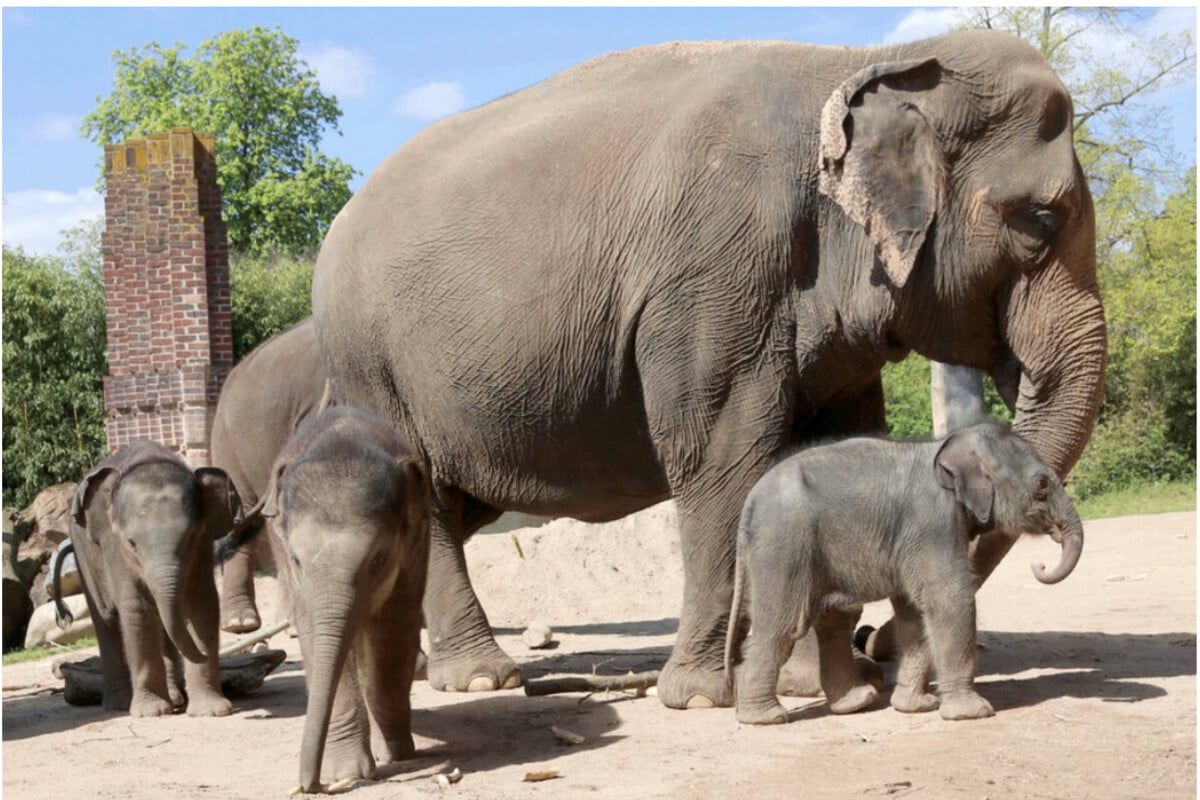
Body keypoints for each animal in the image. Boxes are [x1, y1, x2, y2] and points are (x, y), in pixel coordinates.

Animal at [59, 441, 242, 714]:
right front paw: (151, 712)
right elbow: (137, 609)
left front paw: (212, 711)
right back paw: (120, 705)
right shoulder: (115, 550)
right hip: (84, 557)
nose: (206, 653)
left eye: (191, 536)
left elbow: (203, 605)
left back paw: (175, 698)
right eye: (132, 543)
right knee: (106, 620)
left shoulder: (202, 549)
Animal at [258, 407, 432, 796]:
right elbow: (313, 637)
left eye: (379, 558)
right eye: (296, 559)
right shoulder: (298, 580)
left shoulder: (414, 547)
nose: (312, 786)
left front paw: (396, 753)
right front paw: (348, 772)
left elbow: (393, 627)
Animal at [724, 424, 1084, 724]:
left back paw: (856, 702)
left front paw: (917, 707)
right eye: (1041, 484)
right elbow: (949, 600)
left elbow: (914, 613)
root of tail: (748, 505)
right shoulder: (932, 523)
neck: (945, 448)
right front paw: (974, 713)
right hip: (784, 545)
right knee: (784, 624)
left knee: (833, 616)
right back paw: (766, 718)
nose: (1039, 565)